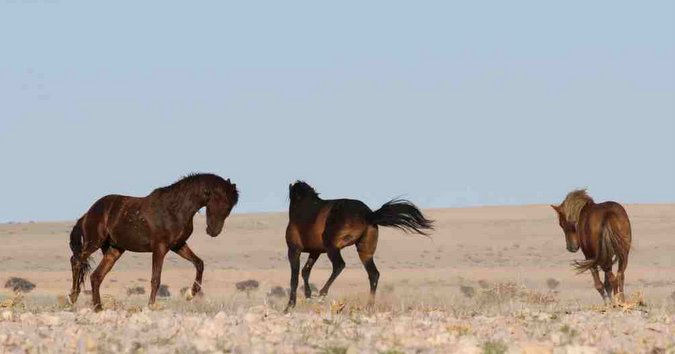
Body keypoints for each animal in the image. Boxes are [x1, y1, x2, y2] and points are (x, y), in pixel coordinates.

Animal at [68, 174, 238, 310]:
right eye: (220, 201)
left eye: (230, 207)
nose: (213, 231)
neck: (174, 209)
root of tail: (87, 214)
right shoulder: (160, 248)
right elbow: (155, 279)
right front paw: (151, 305)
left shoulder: (178, 246)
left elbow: (199, 264)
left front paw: (190, 294)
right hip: (93, 242)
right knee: (76, 261)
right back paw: (73, 298)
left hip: (114, 250)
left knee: (96, 276)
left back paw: (98, 308)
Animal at [284, 181, 434, 312]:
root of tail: (369, 214)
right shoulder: (315, 252)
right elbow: (305, 271)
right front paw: (308, 296)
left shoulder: (294, 250)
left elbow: (294, 278)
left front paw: (289, 306)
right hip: (364, 251)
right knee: (374, 274)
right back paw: (369, 307)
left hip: (332, 246)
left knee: (339, 265)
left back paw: (322, 295)